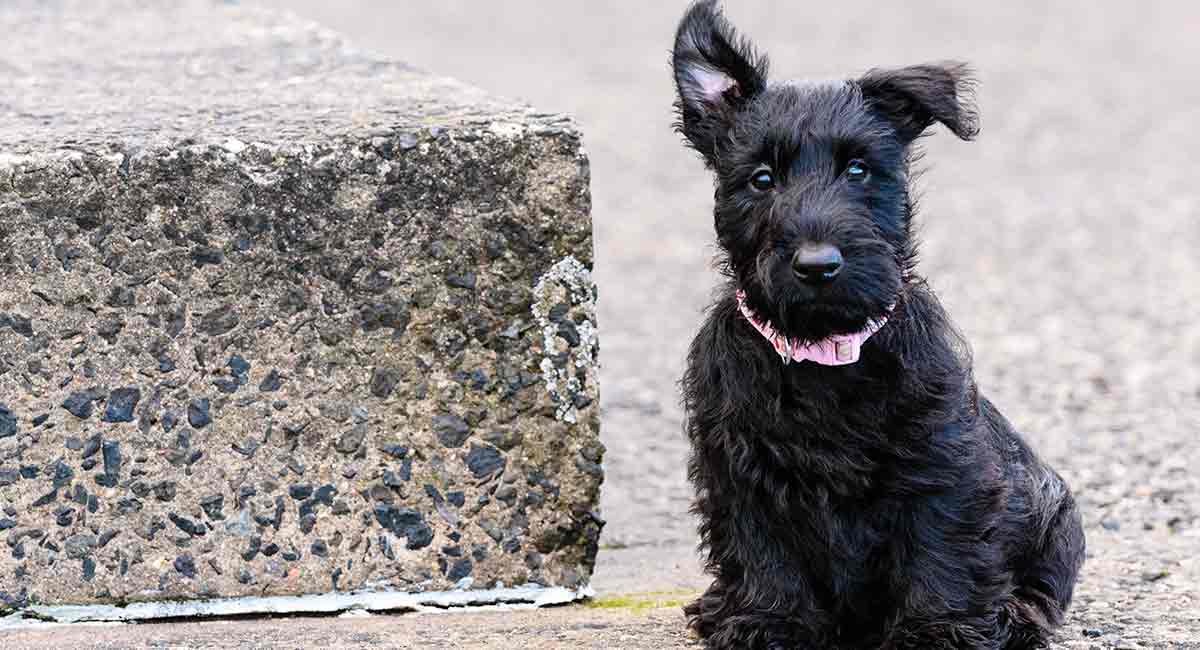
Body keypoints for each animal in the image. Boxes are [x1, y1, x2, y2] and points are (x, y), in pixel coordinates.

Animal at [676, 2, 1089, 647]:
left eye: (859, 170)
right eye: (762, 178)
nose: (818, 264)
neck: (824, 353)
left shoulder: (941, 463)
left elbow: (941, 548)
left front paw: (938, 630)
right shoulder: (739, 468)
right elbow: (762, 549)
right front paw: (768, 620)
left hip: (1056, 518)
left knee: (1041, 586)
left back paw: (1019, 617)